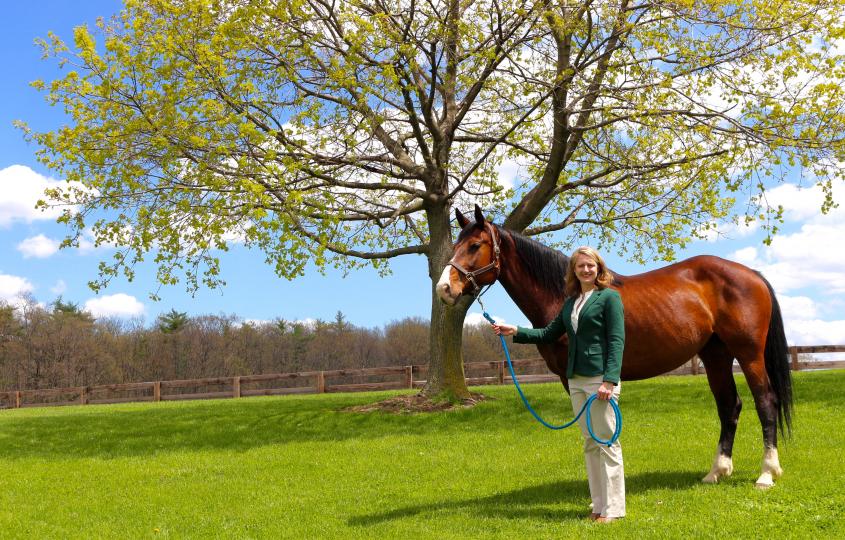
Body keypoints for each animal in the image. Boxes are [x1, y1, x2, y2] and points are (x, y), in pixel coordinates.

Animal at [436, 205, 792, 488]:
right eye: (457, 244)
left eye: (475, 245)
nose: (444, 289)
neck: (561, 295)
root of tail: (751, 274)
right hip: (715, 355)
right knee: (729, 406)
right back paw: (716, 472)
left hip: (748, 354)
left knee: (766, 401)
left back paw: (766, 473)